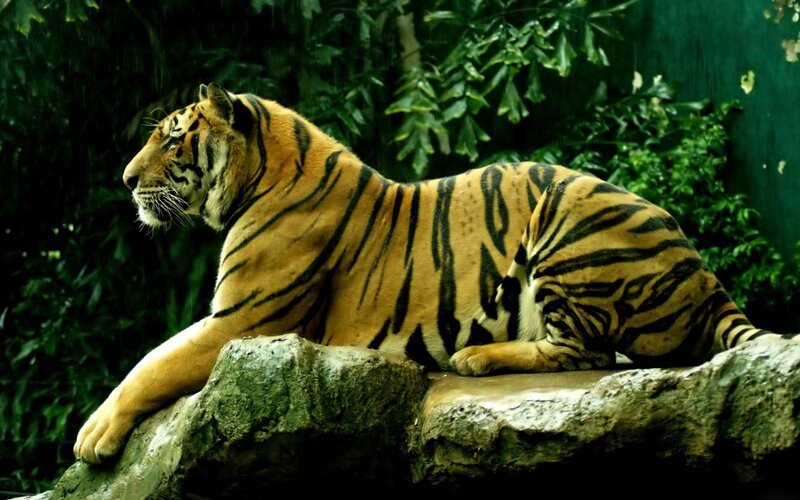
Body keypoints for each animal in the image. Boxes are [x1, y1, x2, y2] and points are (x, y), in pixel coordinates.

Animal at [73, 82, 797, 464]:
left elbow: (152, 363)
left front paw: (92, 436)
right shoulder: (237, 320)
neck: (260, 177)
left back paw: (475, 358)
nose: (125, 181)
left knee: (588, 352)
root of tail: (705, 275)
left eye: (173, 138)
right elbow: (154, 358)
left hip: (566, 213)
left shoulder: (244, 321)